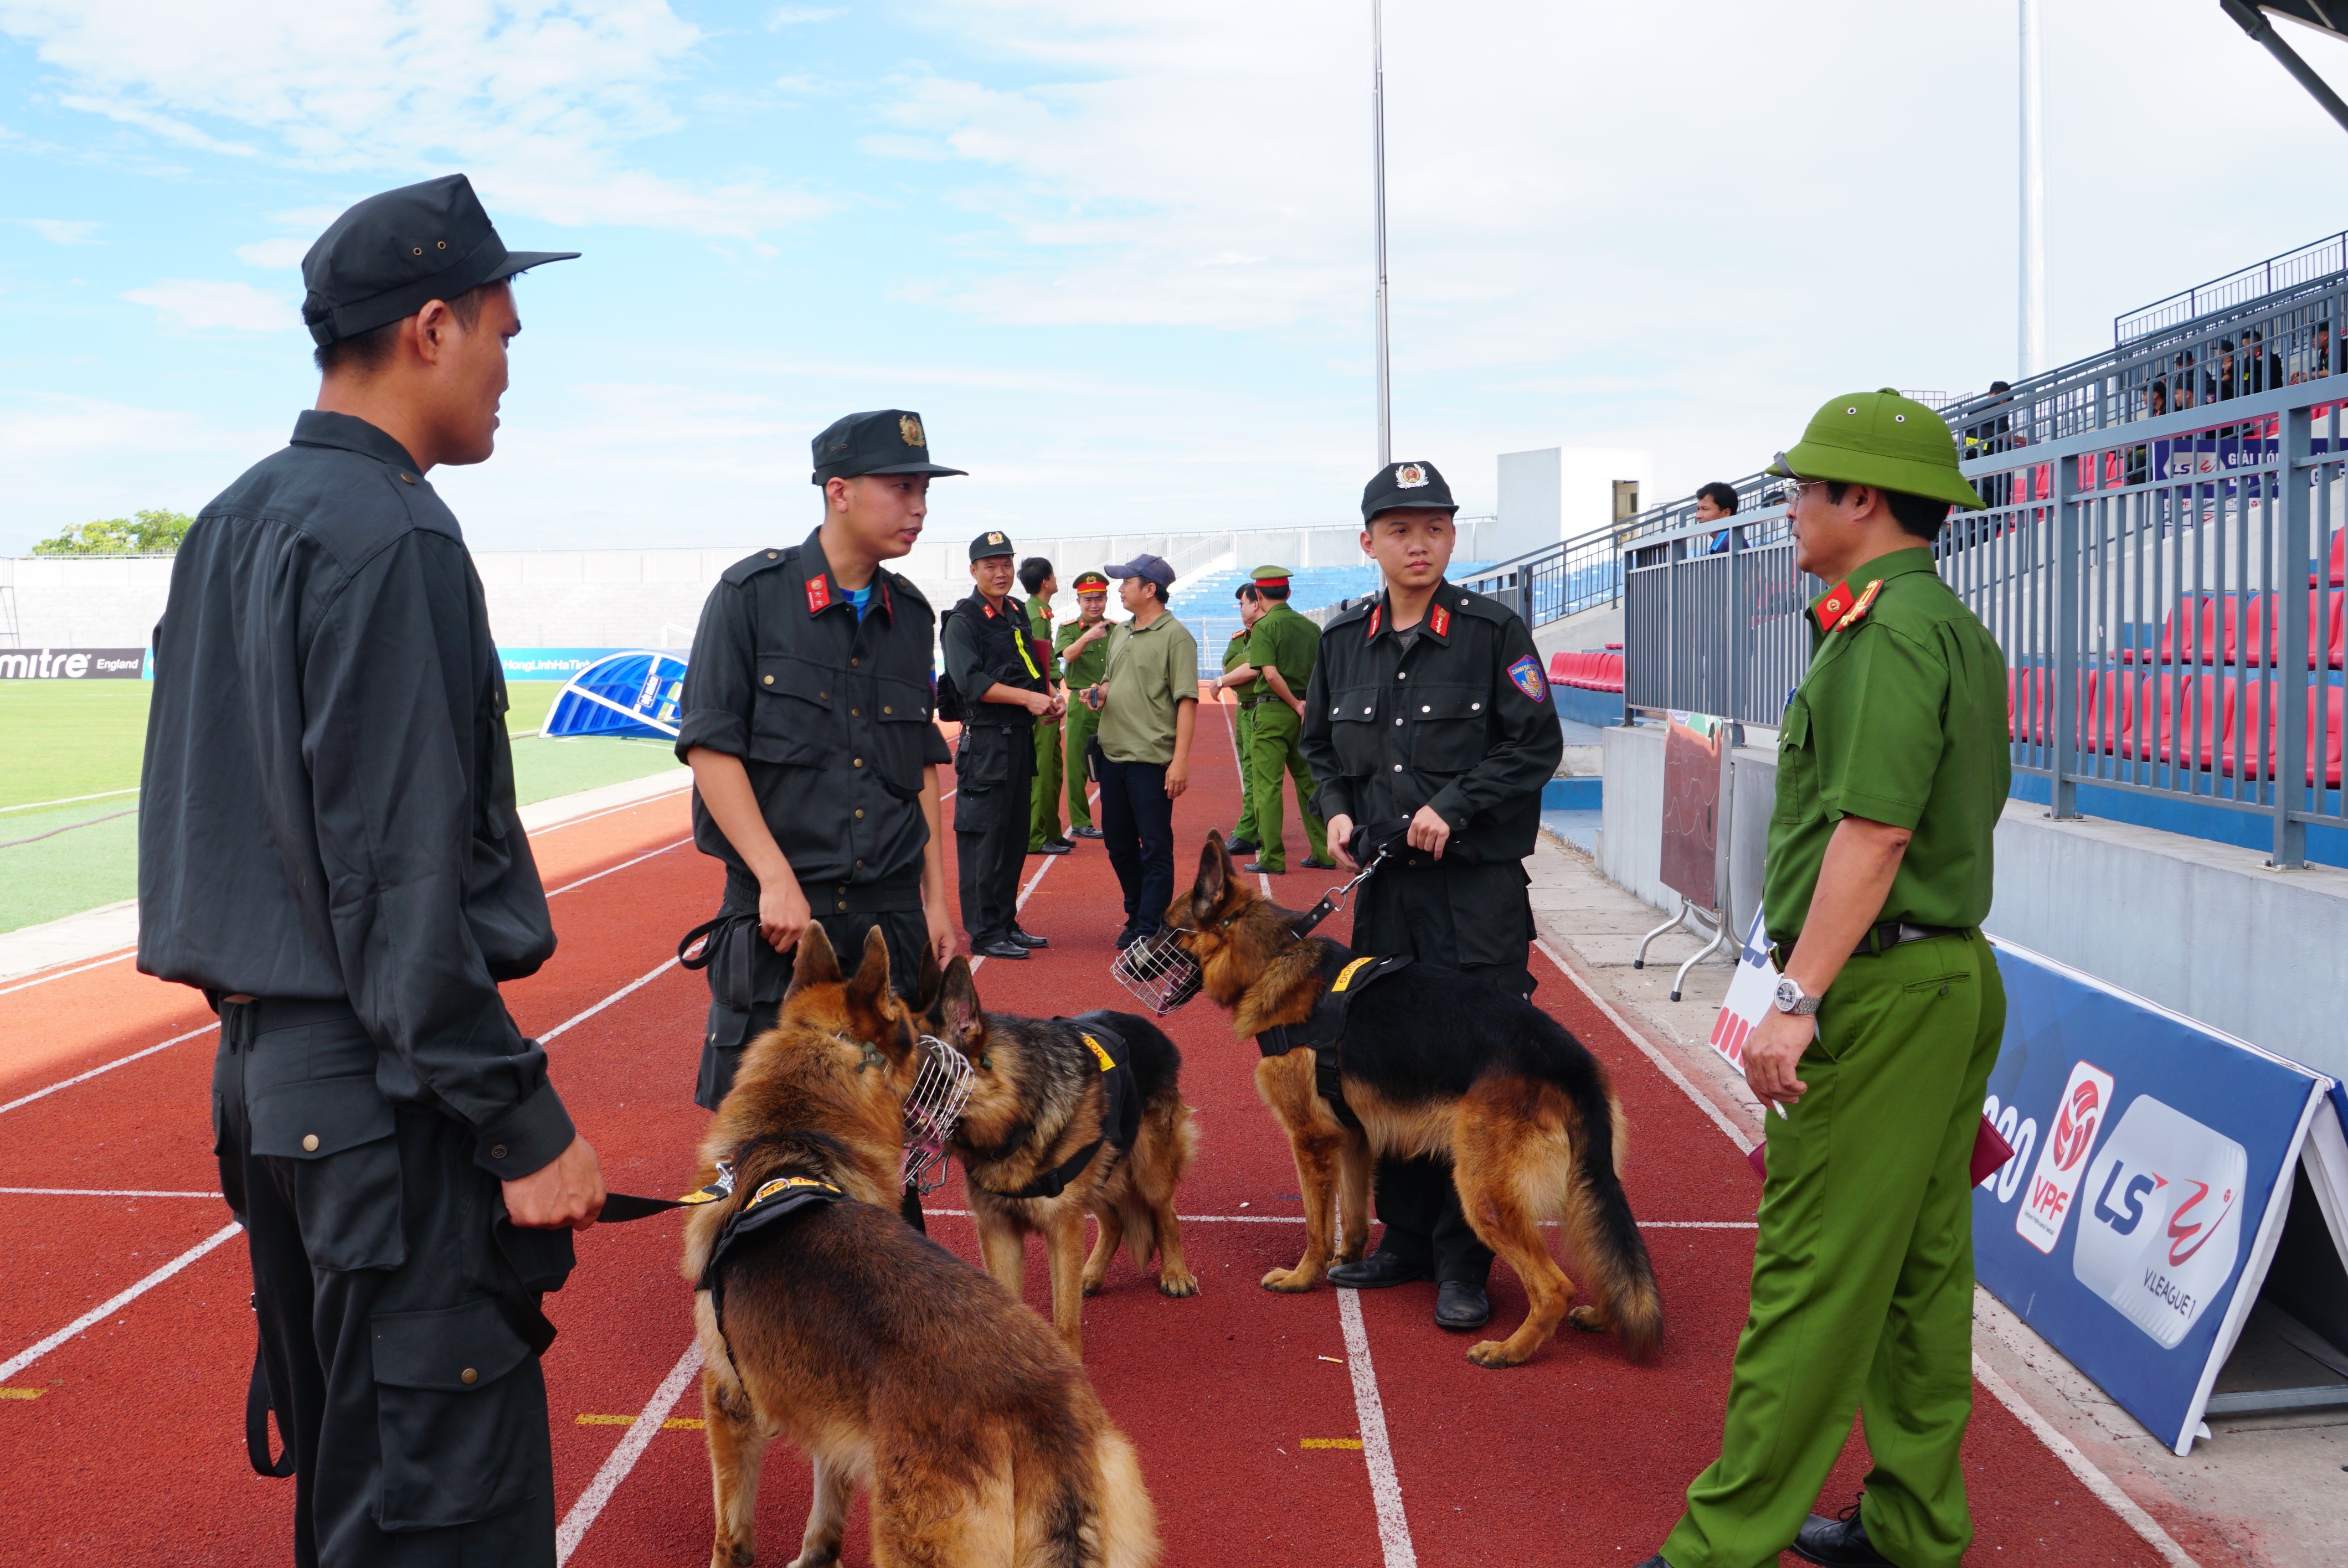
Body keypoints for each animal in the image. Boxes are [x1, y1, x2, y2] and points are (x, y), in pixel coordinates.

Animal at [681, 929, 1155, 1568]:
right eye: (915, 1029)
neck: (789, 1140)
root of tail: (1041, 1414)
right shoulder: (831, 1426)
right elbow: (824, 1523)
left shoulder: (728, 1402)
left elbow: (731, 1534)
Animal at [911, 948, 1202, 1361]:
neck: (1014, 1120)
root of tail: (1149, 1026)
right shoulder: (998, 1230)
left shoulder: (1062, 1227)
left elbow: (1064, 1314)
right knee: (1113, 1224)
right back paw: (1091, 1273)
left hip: (1150, 1171)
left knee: (1166, 1215)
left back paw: (1175, 1272)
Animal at [1165, 840, 1662, 1361]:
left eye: (1164, 927)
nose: (1134, 955)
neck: (1272, 958)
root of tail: (1571, 1063)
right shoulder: (1353, 1138)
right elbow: (1353, 1216)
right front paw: (1348, 1261)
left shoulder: (1311, 1140)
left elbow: (1316, 1224)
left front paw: (1303, 1277)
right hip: (1581, 1184)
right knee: (1602, 1252)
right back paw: (1603, 1316)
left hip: (1482, 1191)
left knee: (1554, 1287)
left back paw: (1509, 1351)